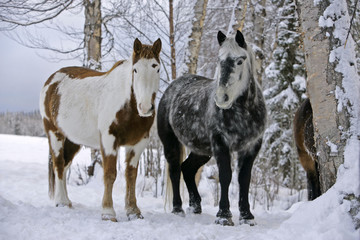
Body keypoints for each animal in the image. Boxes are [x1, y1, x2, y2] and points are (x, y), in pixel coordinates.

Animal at [39, 37, 162, 221]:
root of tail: (52, 81)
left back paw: (67, 200)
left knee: (66, 165)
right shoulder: (109, 140)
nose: (146, 107)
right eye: (135, 70)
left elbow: (131, 176)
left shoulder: (138, 143)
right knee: (59, 164)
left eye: (157, 68)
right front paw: (108, 212)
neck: (127, 106)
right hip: (54, 133)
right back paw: (61, 202)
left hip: (73, 140)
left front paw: (133, 211)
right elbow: (110, 174)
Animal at [158, 30, 268, 225]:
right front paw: (224, 216)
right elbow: (225, 176)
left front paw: (247, 216)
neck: (244, 114)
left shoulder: (251, 147)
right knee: (175, 171)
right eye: (219, 60)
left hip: (202, 150)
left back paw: (195, 206)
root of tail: (172, 88)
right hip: (170, 144)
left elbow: (244, 178)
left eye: (240, 61)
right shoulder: (220, 144)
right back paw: (178, 209)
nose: (222, 98)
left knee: (187, 169)